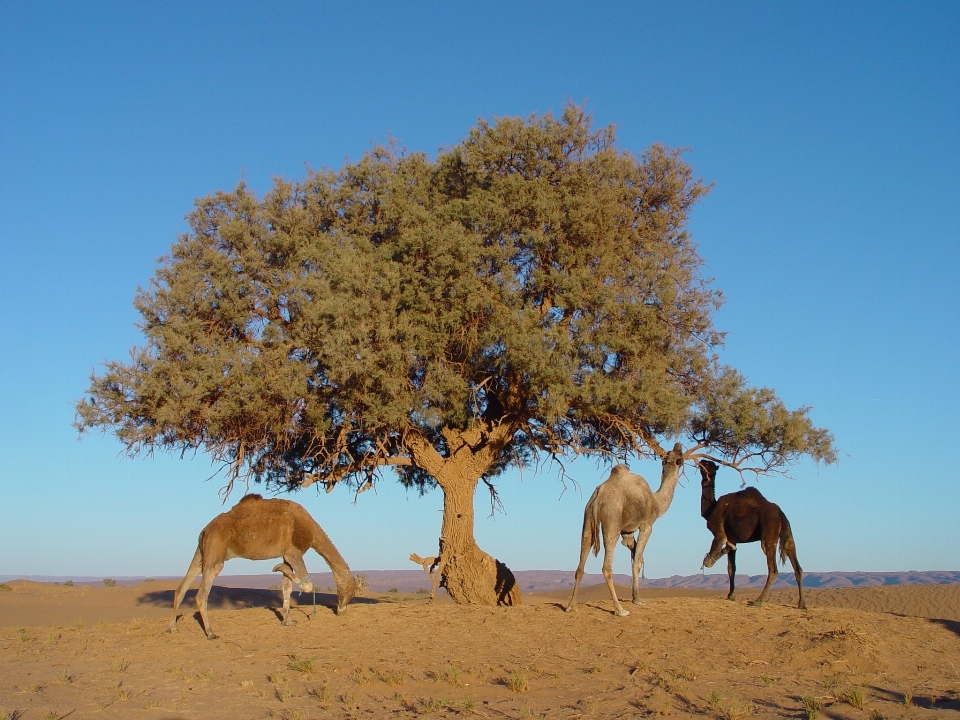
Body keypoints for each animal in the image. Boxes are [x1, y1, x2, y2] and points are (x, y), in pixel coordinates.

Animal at [169, 492, 356, 640]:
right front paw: (277, 568)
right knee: (201, 594)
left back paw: (173, 627)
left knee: (181, 588)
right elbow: (307, 585)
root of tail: (205, 530)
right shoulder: (294, 552)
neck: (311, 529)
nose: (341, 611)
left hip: (202, 553)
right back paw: (210, 633)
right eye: (351, 593)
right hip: (216, 551)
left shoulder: (287, 554)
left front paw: (288, 621)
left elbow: (287, 587)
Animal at [568, 442, 688, 616]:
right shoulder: (646, 526)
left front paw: (635, 596)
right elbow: (637, 561)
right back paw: (620, 609)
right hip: (612, 521)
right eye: (680, 460)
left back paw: (571, 606)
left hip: (587, 518)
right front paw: (638, 600)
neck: (656, 502)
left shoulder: (627, 532)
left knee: (581, 561)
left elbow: (634, 555)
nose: (679, 446)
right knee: (606, 566)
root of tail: (598, 497)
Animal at [692, 462, 808, 608]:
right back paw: (802, 604)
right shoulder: (733, 538)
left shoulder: (720, 532)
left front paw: (708, 561)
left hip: (769, 531)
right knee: (796, 564)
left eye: (706, 464)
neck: (711, 510)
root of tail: (781, 515)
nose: (700, 462)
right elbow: (731, 568)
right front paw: (731, 595)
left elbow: (719, 547)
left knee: (773, 568)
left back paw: (758, 601)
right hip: (788, 533)